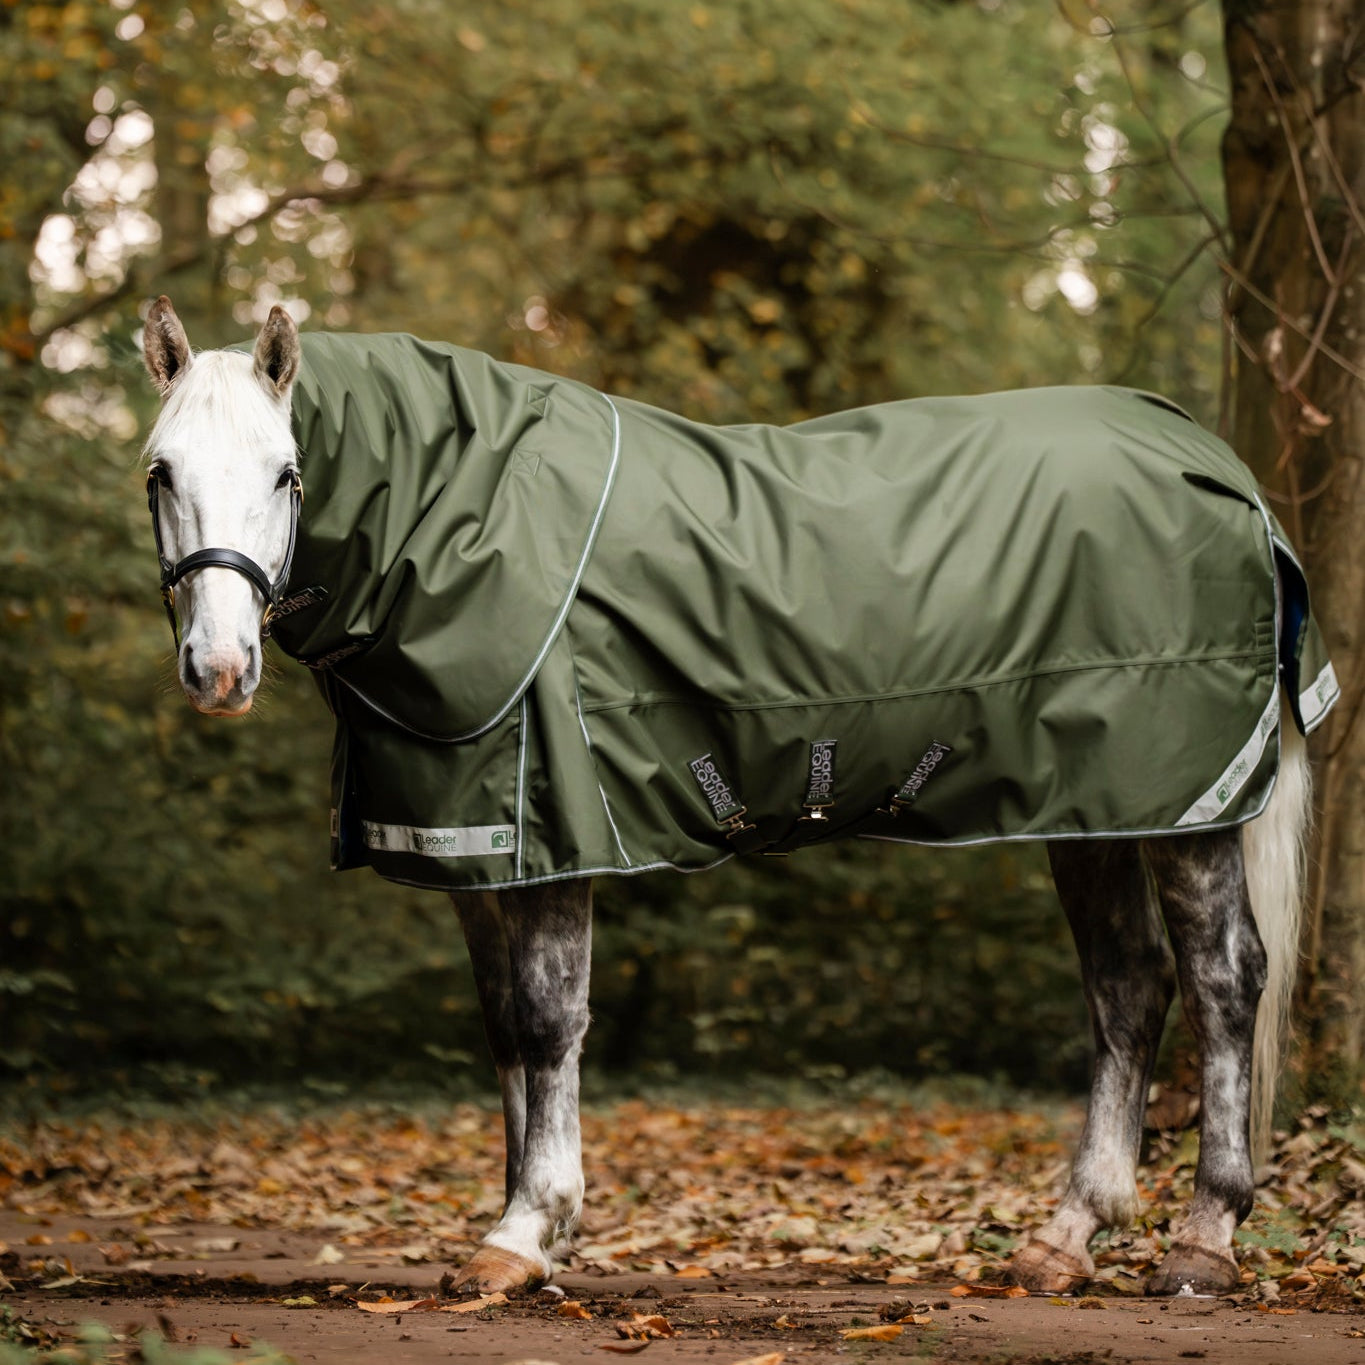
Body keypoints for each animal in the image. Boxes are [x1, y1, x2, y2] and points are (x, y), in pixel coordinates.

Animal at [139, 294, 1335, 1299]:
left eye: (286, 472)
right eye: (159, 472)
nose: (220, 669)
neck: (463, 513)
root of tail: (1219, 468)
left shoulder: (560, 829)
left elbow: (547, 1021)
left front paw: (526, 1232)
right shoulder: (479, 837)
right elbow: (505, 1032)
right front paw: (521, 1230)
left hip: (1189, 806)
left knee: (1225, 980)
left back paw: (1202, 1241)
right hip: (1094, 807)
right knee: (1128, 985)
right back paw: (1065, 1237)